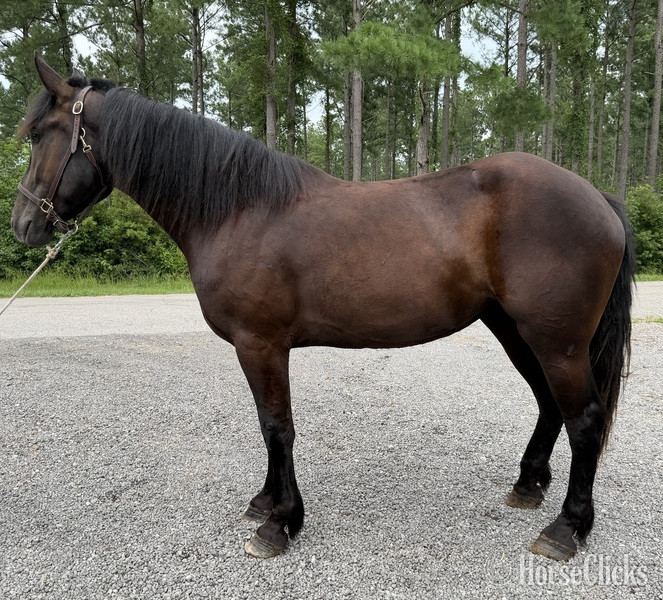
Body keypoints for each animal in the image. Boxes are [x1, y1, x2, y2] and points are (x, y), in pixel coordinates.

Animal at [11, 55, 635, 561]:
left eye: (41, 133)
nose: (23, 226)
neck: (239, 210)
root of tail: (597, 197)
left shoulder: (261, 344)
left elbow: (277, 426)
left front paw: (280, 524)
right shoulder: (258, 348)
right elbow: (267, 426)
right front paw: (266, 502)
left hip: (558, 341)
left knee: (584, 419)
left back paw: (567, 529)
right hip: (517, 330)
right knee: (549, 405)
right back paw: (529, 486)